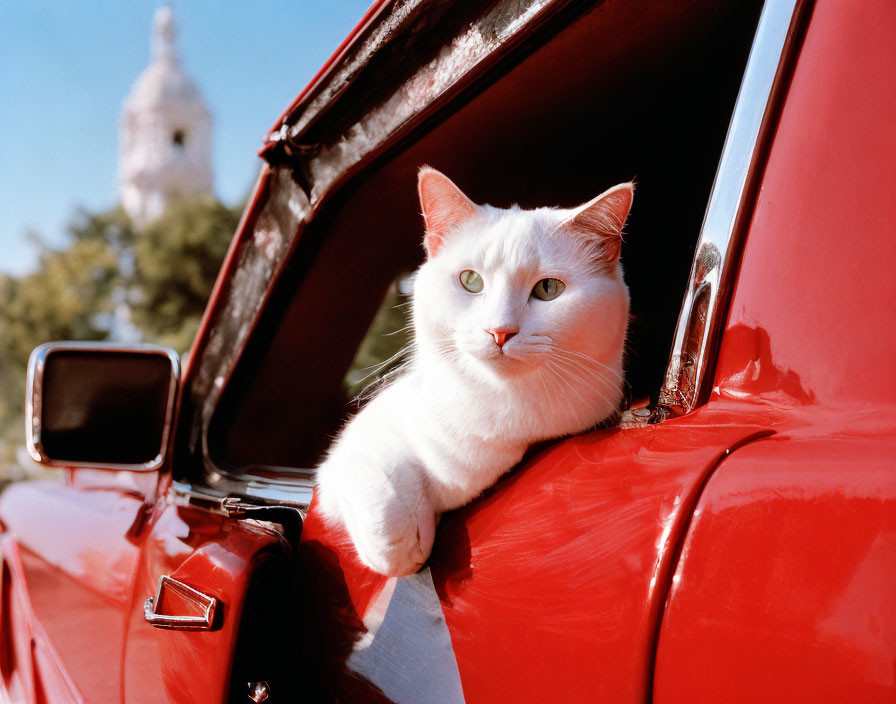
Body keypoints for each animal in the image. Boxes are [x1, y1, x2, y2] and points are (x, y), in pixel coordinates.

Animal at [314, 168, 632, 576]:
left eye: (548, 288)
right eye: (471, 281)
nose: (500, 331)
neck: (495, 406)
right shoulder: (350, 452)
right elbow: (380, 502)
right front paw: (410, 542)